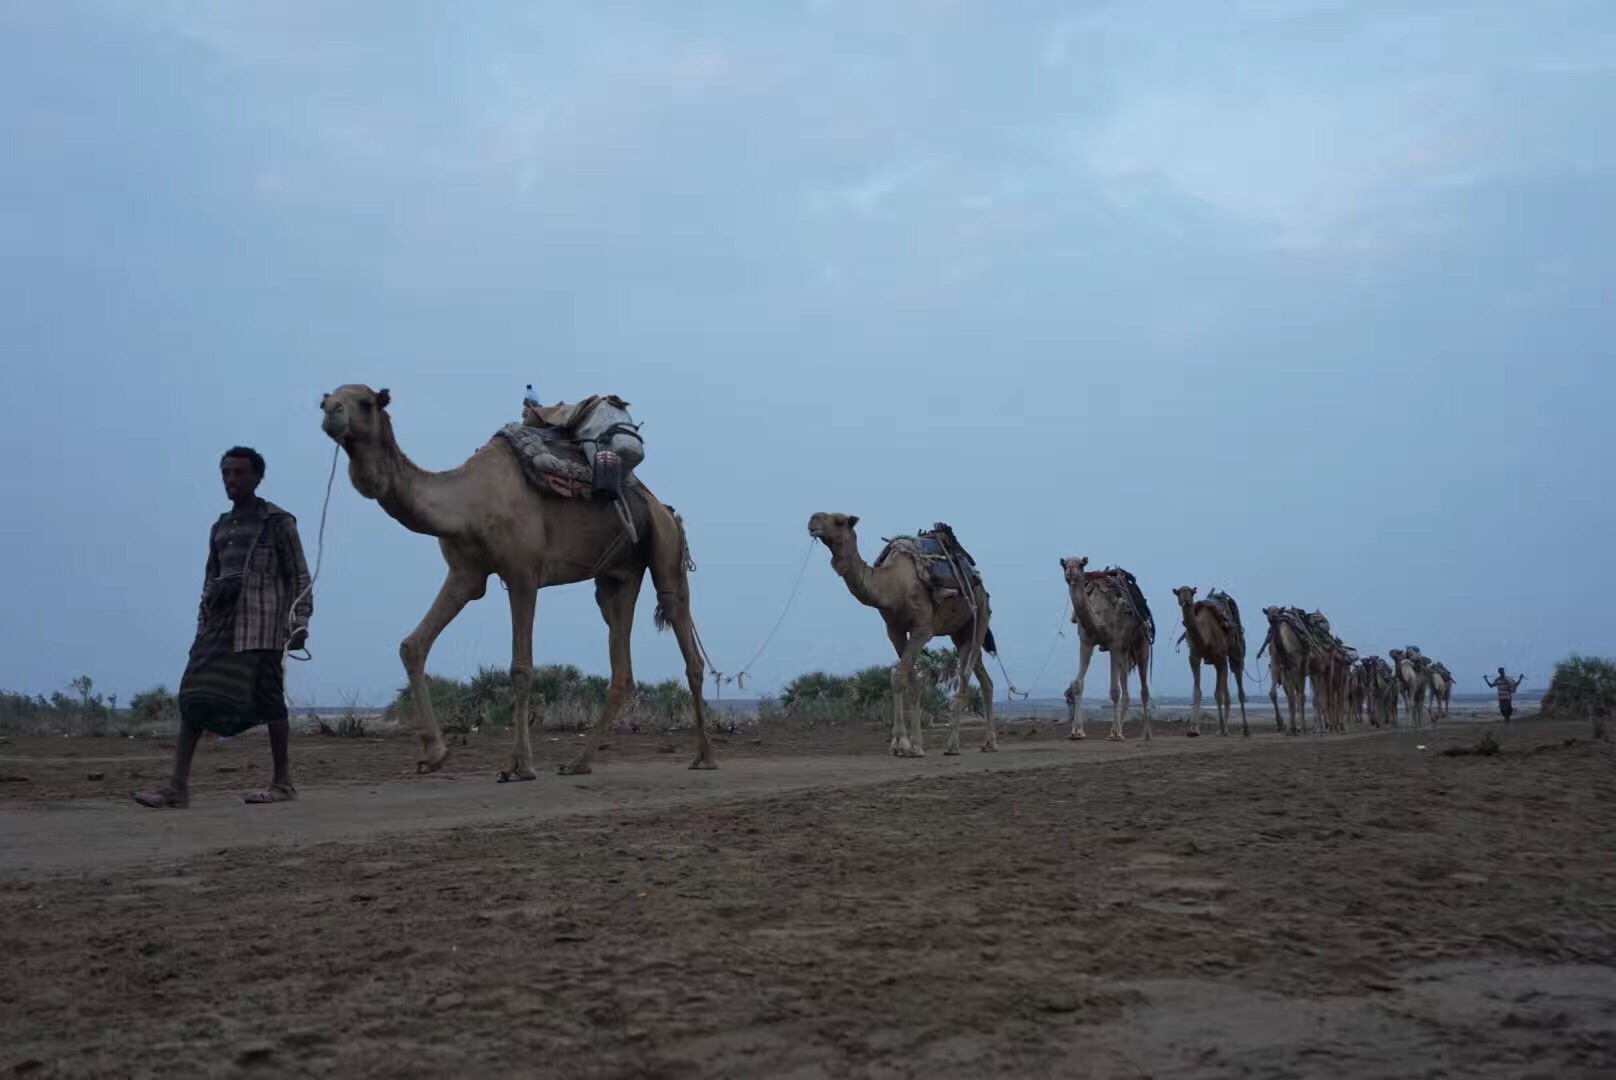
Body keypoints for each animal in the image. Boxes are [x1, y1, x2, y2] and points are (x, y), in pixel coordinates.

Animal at [321, 383, 714, 779]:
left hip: (666, 550)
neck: (466, 501)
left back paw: (704, 757)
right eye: (327, 398)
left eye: (365, 403)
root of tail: (663, 507)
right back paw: (578, 762)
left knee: (687, 643)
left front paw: (519, 765)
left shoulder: (523, 572)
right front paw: (433, 754)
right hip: (617, 578)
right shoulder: (465, 575)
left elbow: (521, 668)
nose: (330, 413)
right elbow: (413, 645)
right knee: (622, 669)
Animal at [808, 510, 995, 756]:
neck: (892, 583)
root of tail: (979, 583)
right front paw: (915, 745)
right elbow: (911, 680)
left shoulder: (922, 629)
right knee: (985, 679)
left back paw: (952, 745)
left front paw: (900, 743)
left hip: (980, 615)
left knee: (964, 676)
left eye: (839, 520)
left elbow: (898, 676)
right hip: (961, 632)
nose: (813, 520)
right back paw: (989, 743)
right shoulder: (894, 630)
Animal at [1060, 556, 1150, 743]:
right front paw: (1076, 731)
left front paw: (1114, 735)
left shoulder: (1114, 643)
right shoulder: (1086, 642)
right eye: (1063, 564)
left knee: (1144, 689)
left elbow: (1114, 690)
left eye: (1080, 564)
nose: (1069, 573)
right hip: (1125, 650)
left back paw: (1145, 734)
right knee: (1126, 691)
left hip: (1141, 642)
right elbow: (1078, 684)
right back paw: (1120, 730)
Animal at [1176, 585, 1247, 737]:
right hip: (1219, 661)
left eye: (1191, 592)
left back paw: (1244, 729)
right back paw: (1223, 729)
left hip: (1235, 652)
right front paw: (1193, 729)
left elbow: (1218, 694)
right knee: (1226, 690)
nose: (1185, 599)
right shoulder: (1194, 658)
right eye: (1178, 592)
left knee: (1238, 681)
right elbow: (1197, 691)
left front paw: (1222, 728)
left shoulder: (1220, 658)